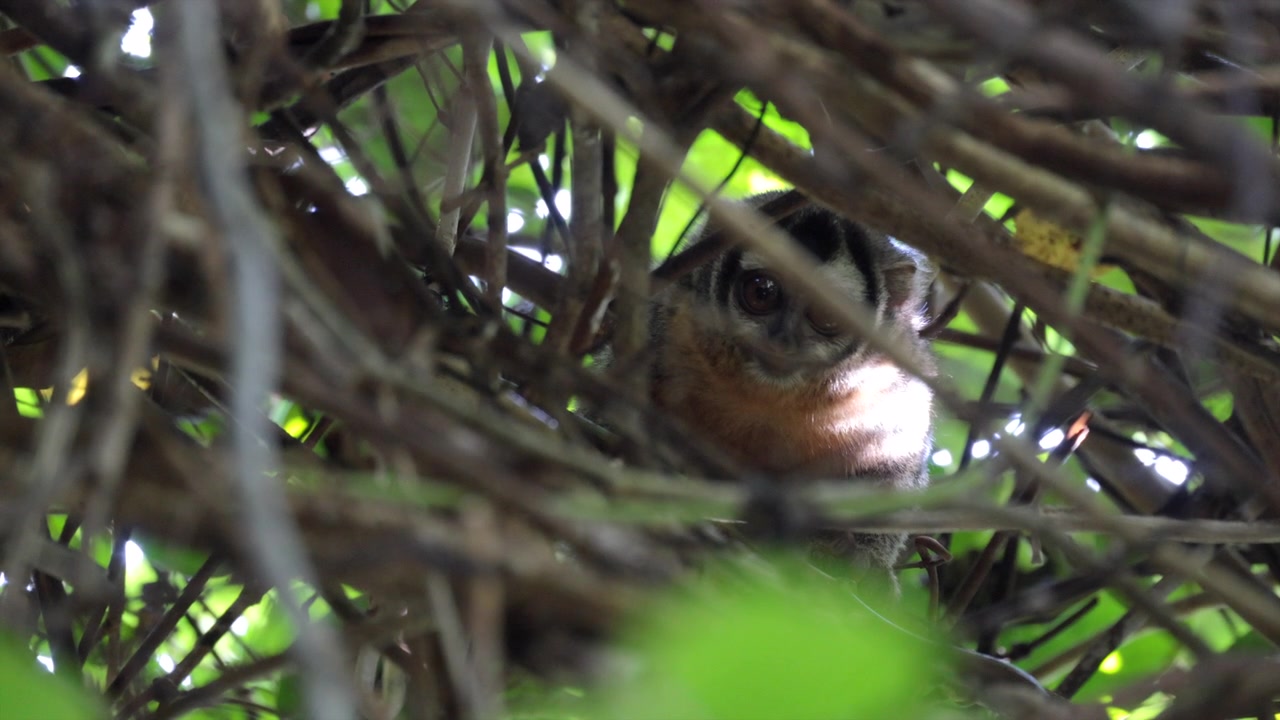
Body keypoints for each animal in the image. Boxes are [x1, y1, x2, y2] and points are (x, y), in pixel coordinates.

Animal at [643, 192, 937, 576]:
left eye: (828, 313)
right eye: (761, 292)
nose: (781, 339)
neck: (772, 394)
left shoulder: (896, 383)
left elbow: (893, 468)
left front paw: (866, 563)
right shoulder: (670, 319)